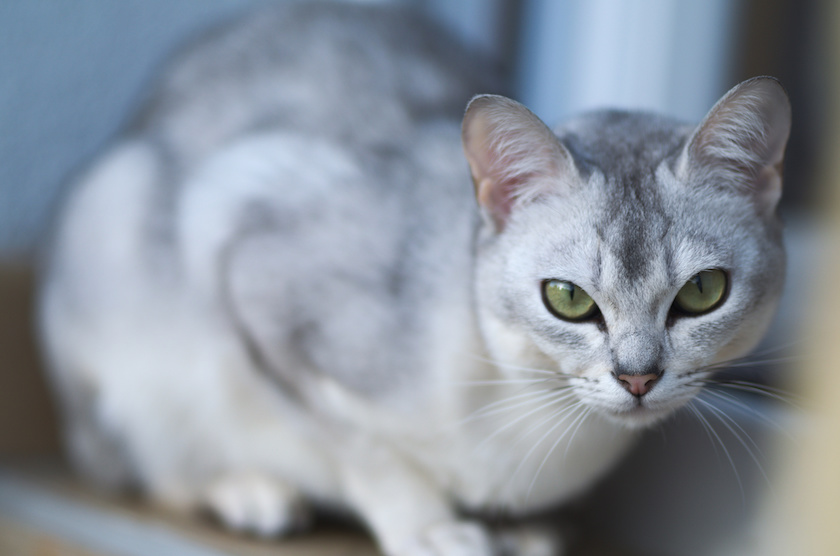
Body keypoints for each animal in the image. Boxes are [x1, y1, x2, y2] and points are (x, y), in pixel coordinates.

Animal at [37, 2, 788, 552]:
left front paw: (523, 533)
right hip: (118, 263)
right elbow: (363, 449)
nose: (638, 378)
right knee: (134, 467)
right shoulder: (251, 268)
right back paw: (250, 491)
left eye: (702, 293)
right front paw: (432, 528)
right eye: (569, 299)